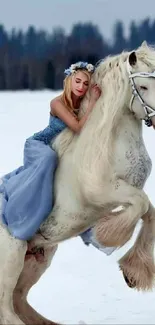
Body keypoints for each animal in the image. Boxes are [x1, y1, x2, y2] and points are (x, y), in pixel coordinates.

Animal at [0, 41, 155, 324]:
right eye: (144, 86)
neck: (105, 142)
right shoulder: (105, 193)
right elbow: (140, 206)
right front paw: (105, 236)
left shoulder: (131, 191)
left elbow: (150, 212)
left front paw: (132, 274)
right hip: (11, 256)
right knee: (7, 310)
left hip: (38, 259)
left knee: (19, 301)